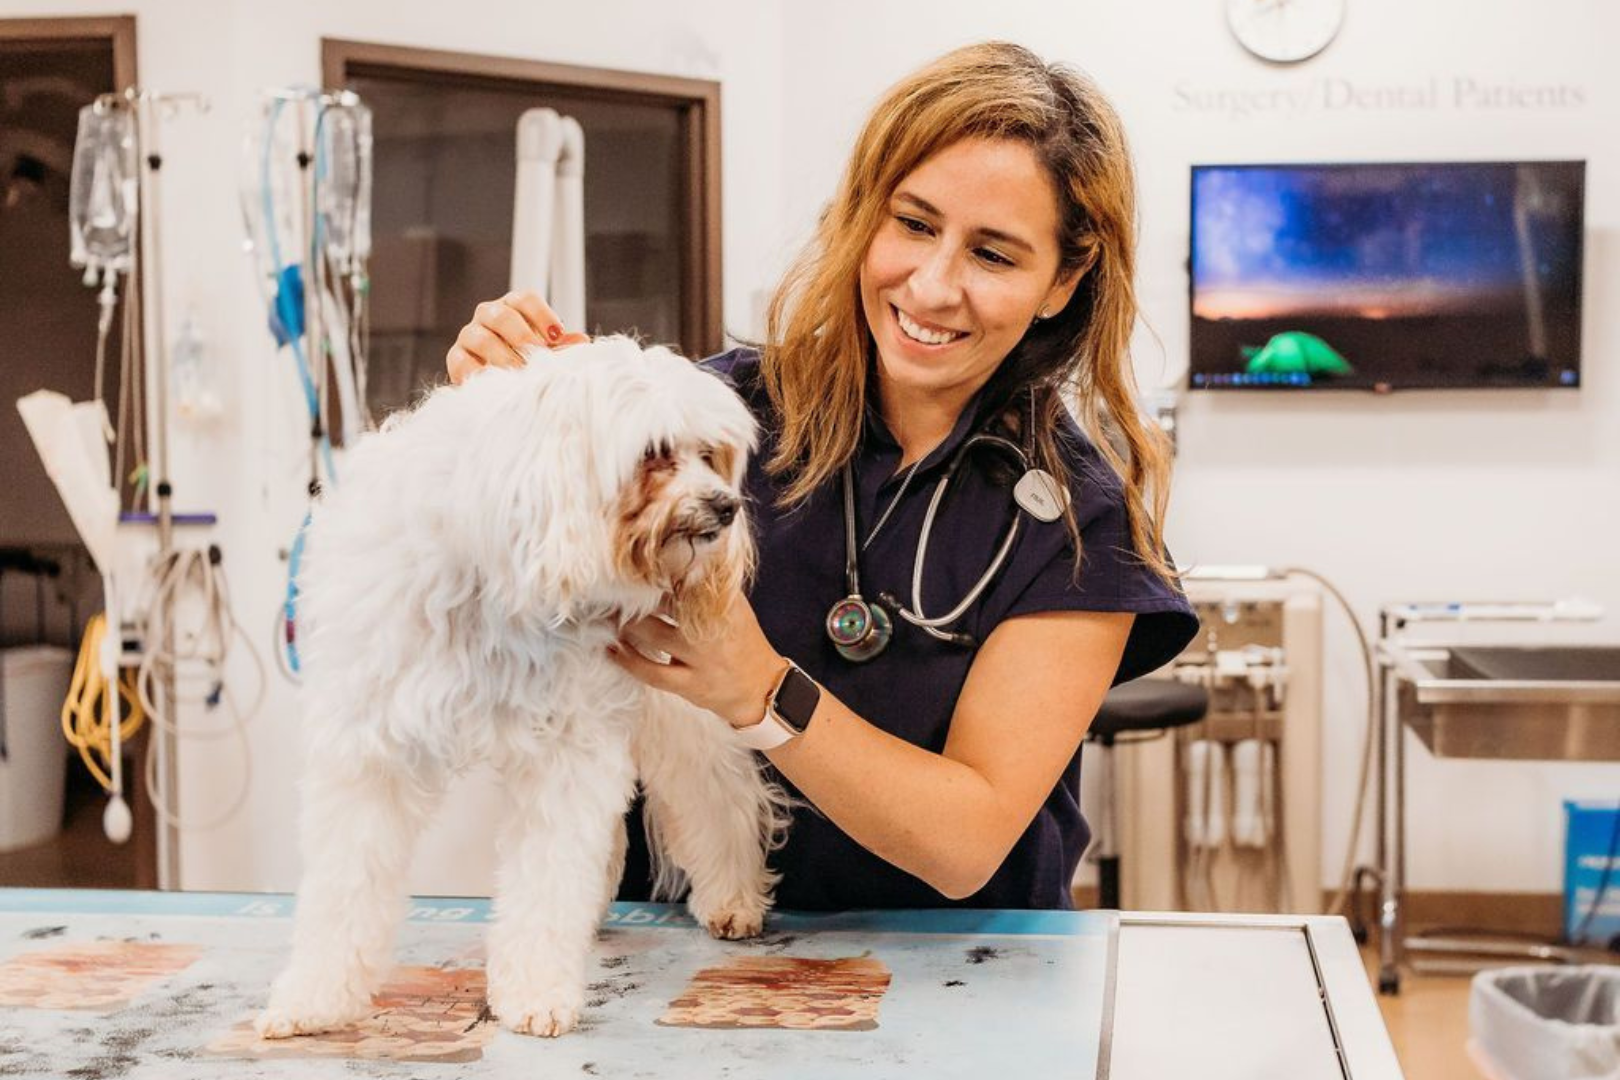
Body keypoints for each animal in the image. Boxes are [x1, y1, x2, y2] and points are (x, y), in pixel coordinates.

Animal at [257, 335, 784, 1036]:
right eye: (655, 452)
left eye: (711, 455)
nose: (726, 508)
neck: (501, 585)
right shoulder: (370, 751)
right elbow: (343, 889)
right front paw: (315, 997)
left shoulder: (567, 754)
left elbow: (547, 881)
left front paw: (536, 992)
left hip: (684, 711)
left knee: (717, 801)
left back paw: (732, 898)